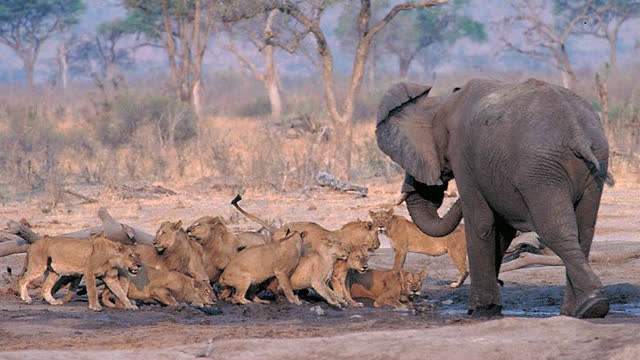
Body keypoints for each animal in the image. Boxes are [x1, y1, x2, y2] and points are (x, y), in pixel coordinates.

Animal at [378, 78, 612, 318]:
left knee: (555, 230)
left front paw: (480, 310)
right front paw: (490, 307)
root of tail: (577, 132)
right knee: (584, 230)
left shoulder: (463, 158)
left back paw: (592, 306)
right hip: (593, 167)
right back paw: (578, 310)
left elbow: (481, 223)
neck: (441, 103)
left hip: (540, 171)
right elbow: (502, 230)